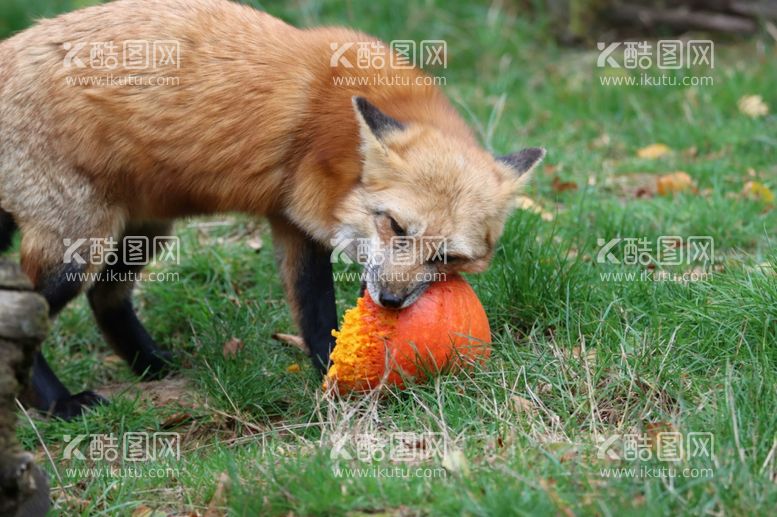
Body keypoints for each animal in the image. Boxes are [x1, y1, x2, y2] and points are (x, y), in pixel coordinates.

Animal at [0, 0, 544, 420]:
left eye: (446, 258)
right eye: (395, 226)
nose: (391, 301)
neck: (340, 144)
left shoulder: (294, 223)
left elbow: (320, 317)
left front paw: (335, 378)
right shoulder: (304, 219)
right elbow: (319, 311)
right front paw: (338, 387)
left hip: (143, 230)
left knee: (105, 297)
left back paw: (152, 365)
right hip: (77, 246)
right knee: (33, 305)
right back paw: (58, 404)